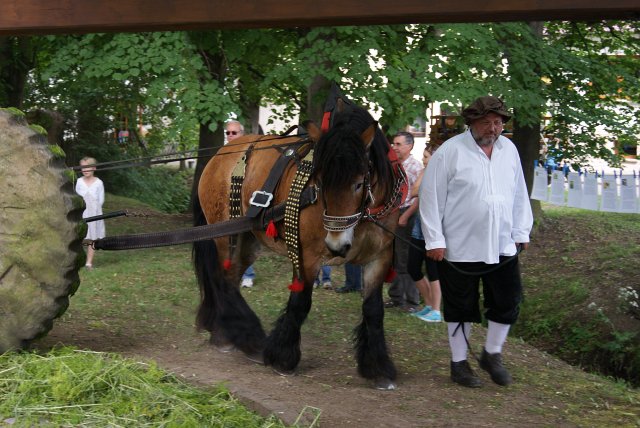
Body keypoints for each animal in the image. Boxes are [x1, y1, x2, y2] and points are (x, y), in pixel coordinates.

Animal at [192, 98, 408, 390]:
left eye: (358, 183)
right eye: (320, 182)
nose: (337, 245)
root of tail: (218, 156)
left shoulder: (380, 256)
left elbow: (373, 310)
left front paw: (378, 368)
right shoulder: (307, 255)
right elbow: (300, 302)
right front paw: (283, 357)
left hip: (248, 240)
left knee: (231, 278)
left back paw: (225, 333)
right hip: (225, 236)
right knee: (222, 280)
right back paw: (248, 337)